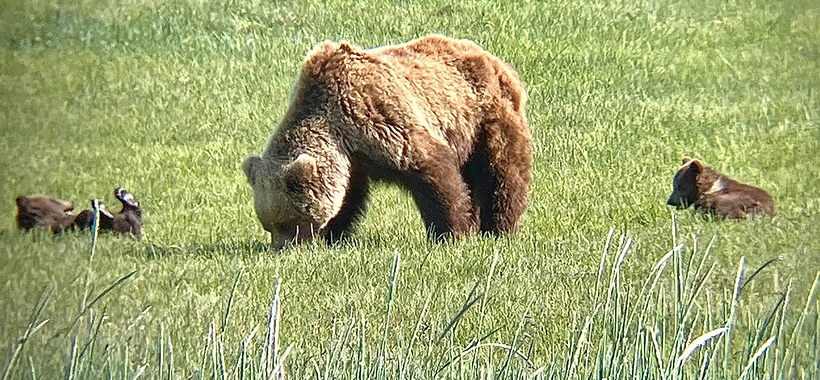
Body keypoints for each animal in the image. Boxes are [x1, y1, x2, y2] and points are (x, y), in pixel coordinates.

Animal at [242, 34, 532, 249]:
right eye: (268, 224)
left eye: (287, 222)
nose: (281, 248)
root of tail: (495, 59)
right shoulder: (354, 160)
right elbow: (348, 197)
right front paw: (334, 234)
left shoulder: (379, 117)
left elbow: (433, 172)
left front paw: (450, 233)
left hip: (485, 118)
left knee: (502, 172)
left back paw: (499, 228)